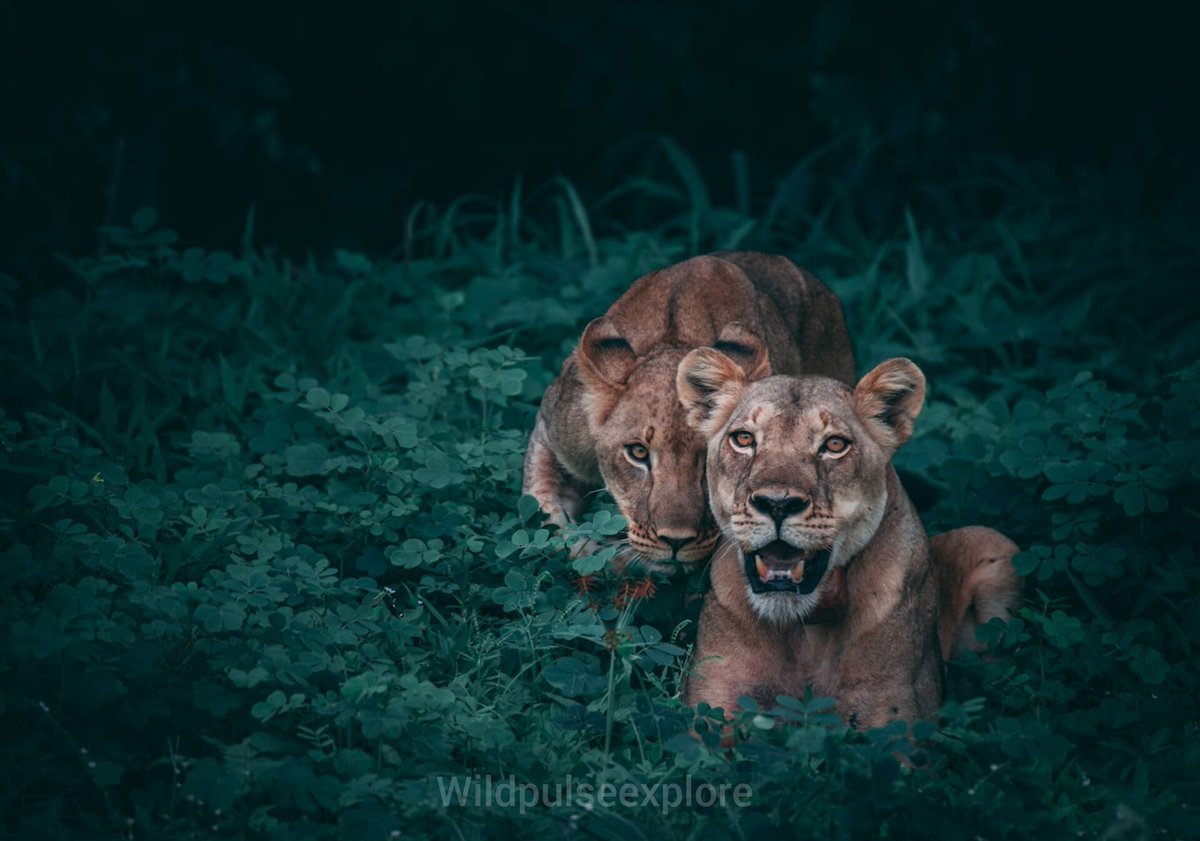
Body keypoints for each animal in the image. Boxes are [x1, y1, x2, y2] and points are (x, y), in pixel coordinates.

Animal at [676, 348, 1022, 728]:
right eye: (744, 439)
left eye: (834, 445)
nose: (777, 504)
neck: (803, 629)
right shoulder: (713, 705)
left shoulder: (894, 715)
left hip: (993, 542)